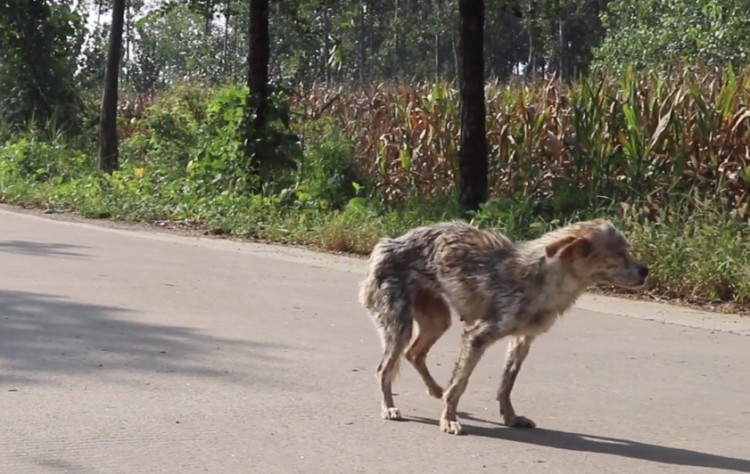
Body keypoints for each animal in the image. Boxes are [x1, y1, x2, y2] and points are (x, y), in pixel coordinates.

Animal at [358, 220, 648, 436]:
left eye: (627, 251)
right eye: (618, 255)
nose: (646, 269)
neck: (544, 280)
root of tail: (386, 243)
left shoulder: (522, 340)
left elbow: (506, 384)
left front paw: (510, 417)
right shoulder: (477, 336)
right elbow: (460, 384)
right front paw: (449, 419)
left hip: (437, 320)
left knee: (415, 354)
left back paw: (437, 390)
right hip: (400, 326)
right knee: (384, 369)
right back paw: (390, 407)